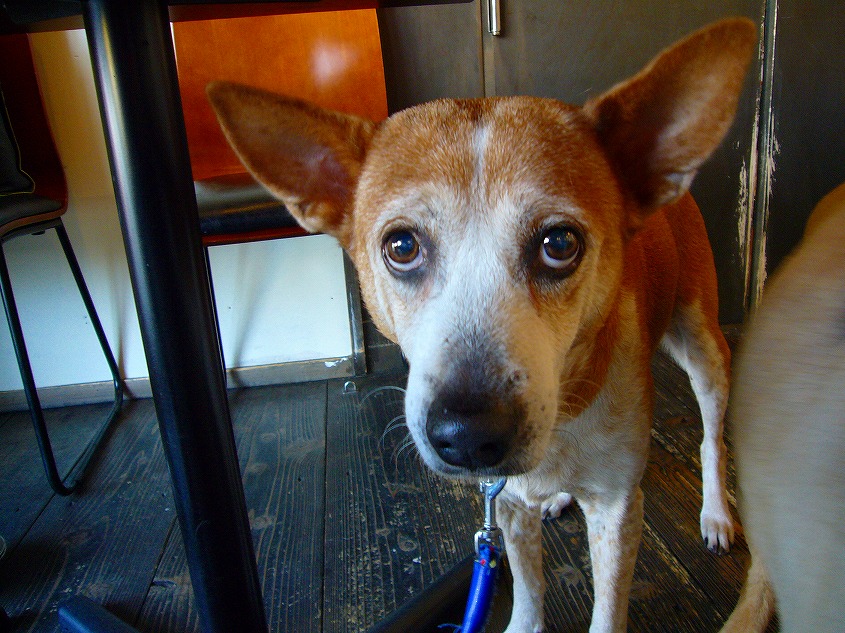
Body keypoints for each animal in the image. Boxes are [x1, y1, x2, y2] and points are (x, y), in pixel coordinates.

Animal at [207, 18, 756, 632]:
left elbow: (608, 608)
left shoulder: (617, 509)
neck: (563, 418)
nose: (467, 436)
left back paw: (716, 513)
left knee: (712, 436)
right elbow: (528, 588)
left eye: (559, 243)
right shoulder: (507, 504)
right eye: (401, 246)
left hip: (703, 345)